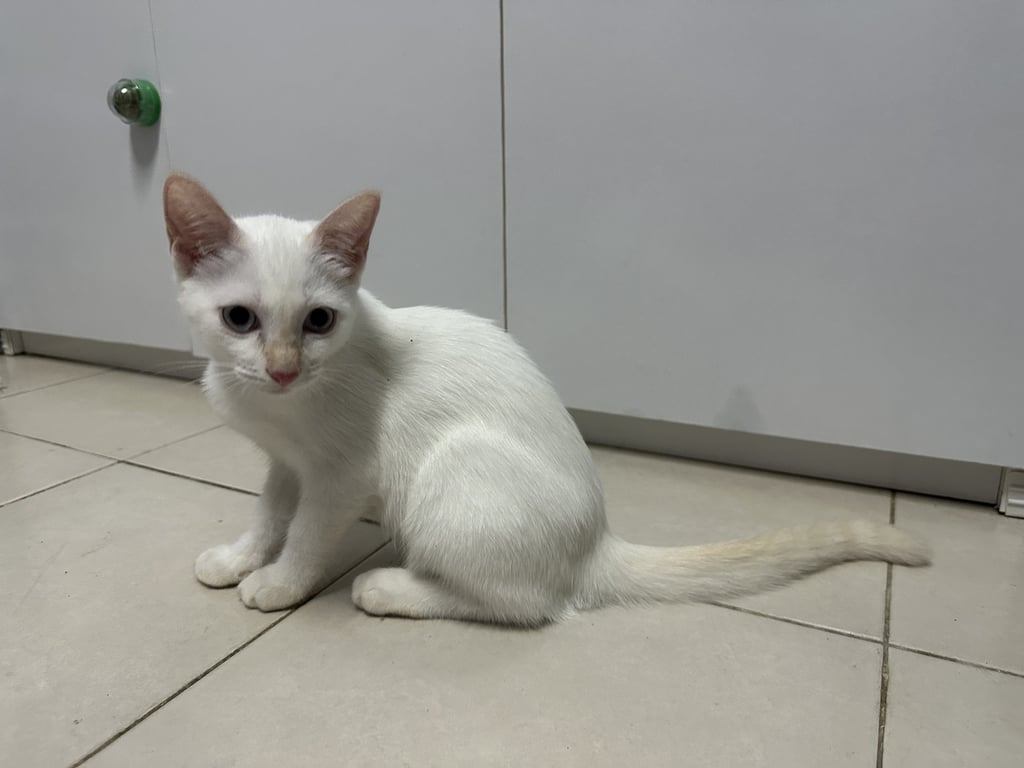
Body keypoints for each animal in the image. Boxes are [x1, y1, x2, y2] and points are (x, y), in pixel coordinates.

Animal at [163, 173, 930, 625]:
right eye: (240, 319)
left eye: (318, 320)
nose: (283, 370)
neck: (280, 409)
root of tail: (595, 542)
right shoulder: (285, 463)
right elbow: (269, 513)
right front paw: (239, 558)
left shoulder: (343, 473)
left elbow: (305, 532)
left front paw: (281, 582)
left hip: (452, 469)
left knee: (527, 604)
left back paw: (390, 589)